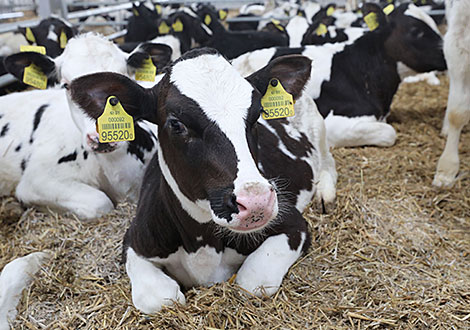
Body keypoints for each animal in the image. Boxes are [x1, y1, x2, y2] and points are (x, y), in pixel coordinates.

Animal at [70, 48, 336, 312]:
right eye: (176, 124)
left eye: (257, 114)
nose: (256, 202)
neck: (201, 243)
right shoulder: (134, 242)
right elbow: (160, 298)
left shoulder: (293, 223)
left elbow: (252, 281)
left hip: (320, 130)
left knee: (328, 163)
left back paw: (325, 194)